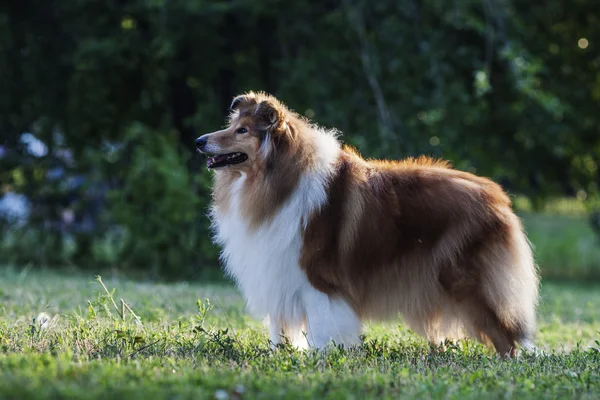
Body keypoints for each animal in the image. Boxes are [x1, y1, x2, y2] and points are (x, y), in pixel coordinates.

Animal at [197, 92, 540, 358]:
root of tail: (498, 196)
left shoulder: (317, 279)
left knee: (506, 335)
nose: (199, 140)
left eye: (242, 130)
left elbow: (323, 326)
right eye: (232, 126)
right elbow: (278, 327)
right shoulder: (278, 272)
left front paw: (323, 358)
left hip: (470, 282)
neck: (278, 179)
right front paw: (280, 353)